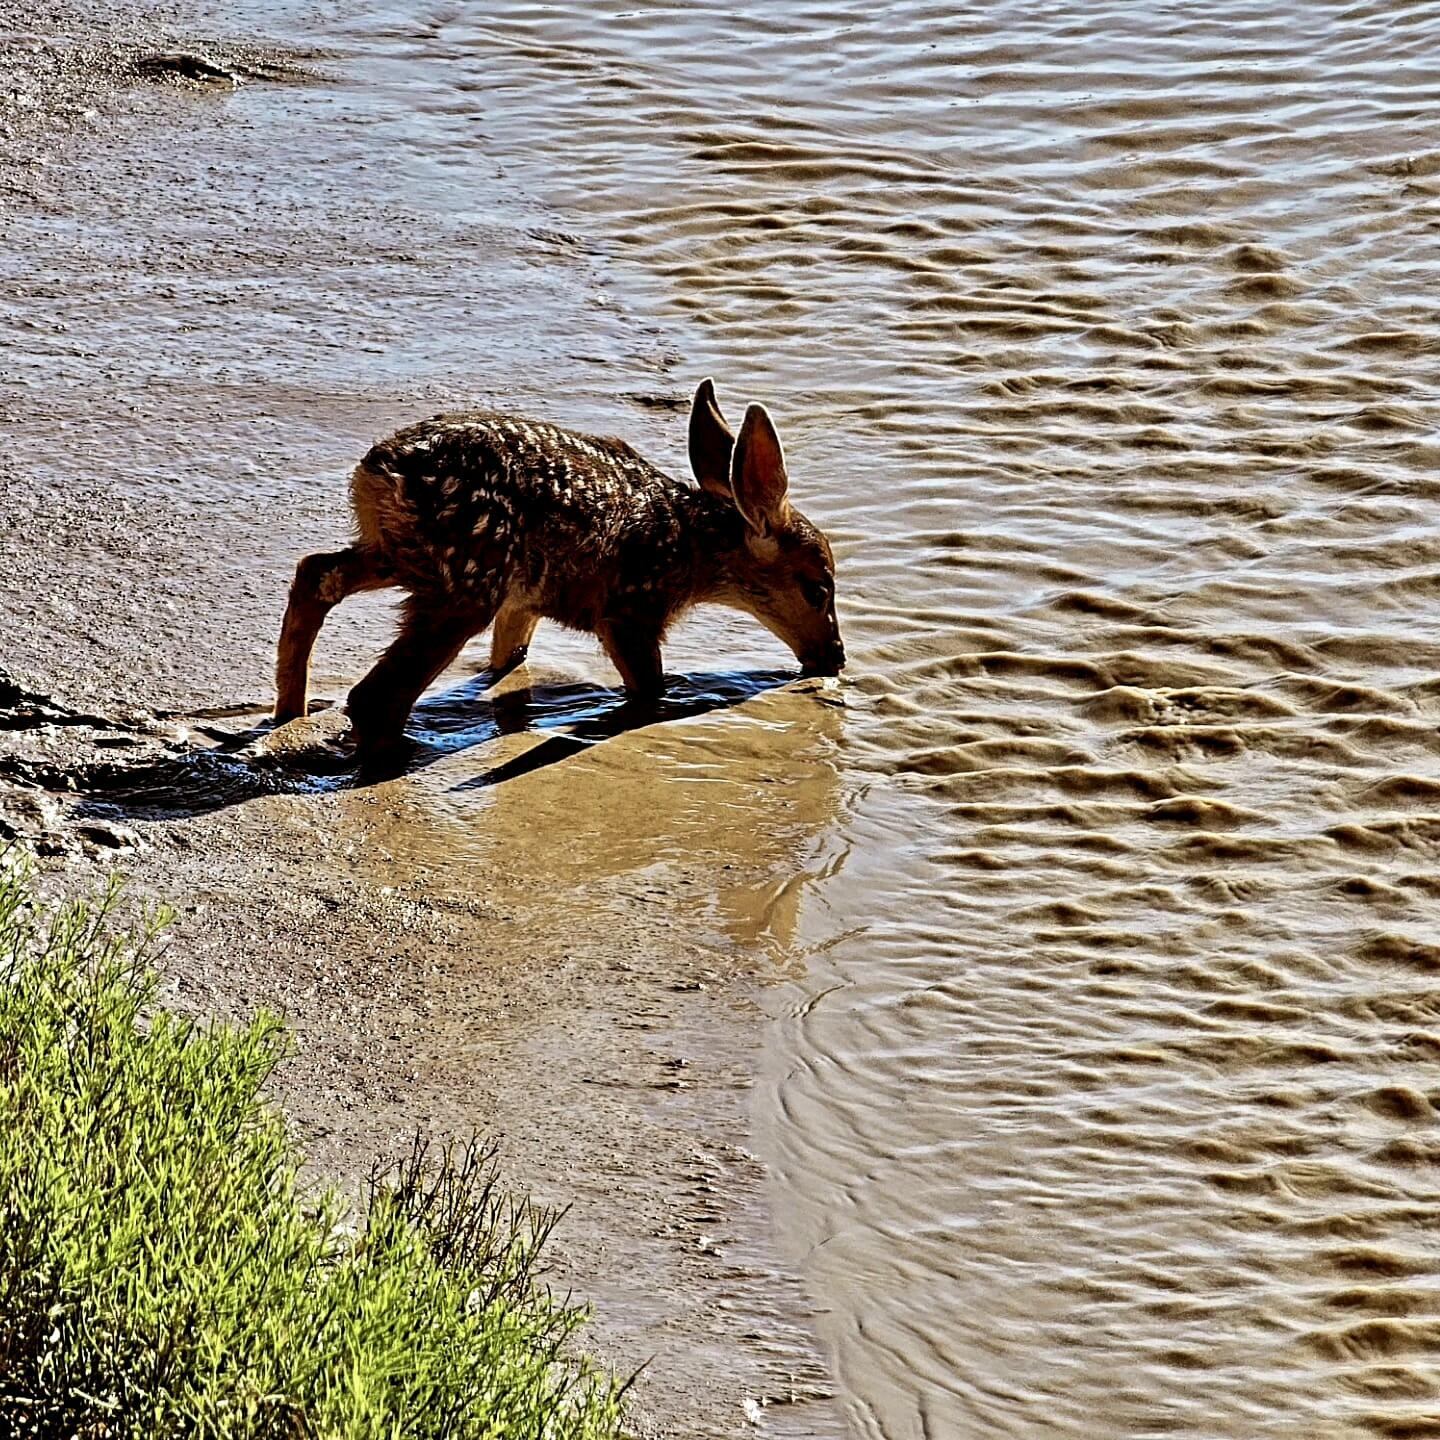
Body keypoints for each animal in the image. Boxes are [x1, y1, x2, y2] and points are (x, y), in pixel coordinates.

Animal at [270, 383, 840, 766]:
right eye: (818, 587)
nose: (834, 656)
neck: (689, 546)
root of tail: (377, 470)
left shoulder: (524, 602)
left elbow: (510, 657)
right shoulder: (631, 607)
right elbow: (650, 686)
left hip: (403, 554)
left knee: (315, 573)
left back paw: (290, 713)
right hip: (468, 576)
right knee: (374, 694)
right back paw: (396, 755)